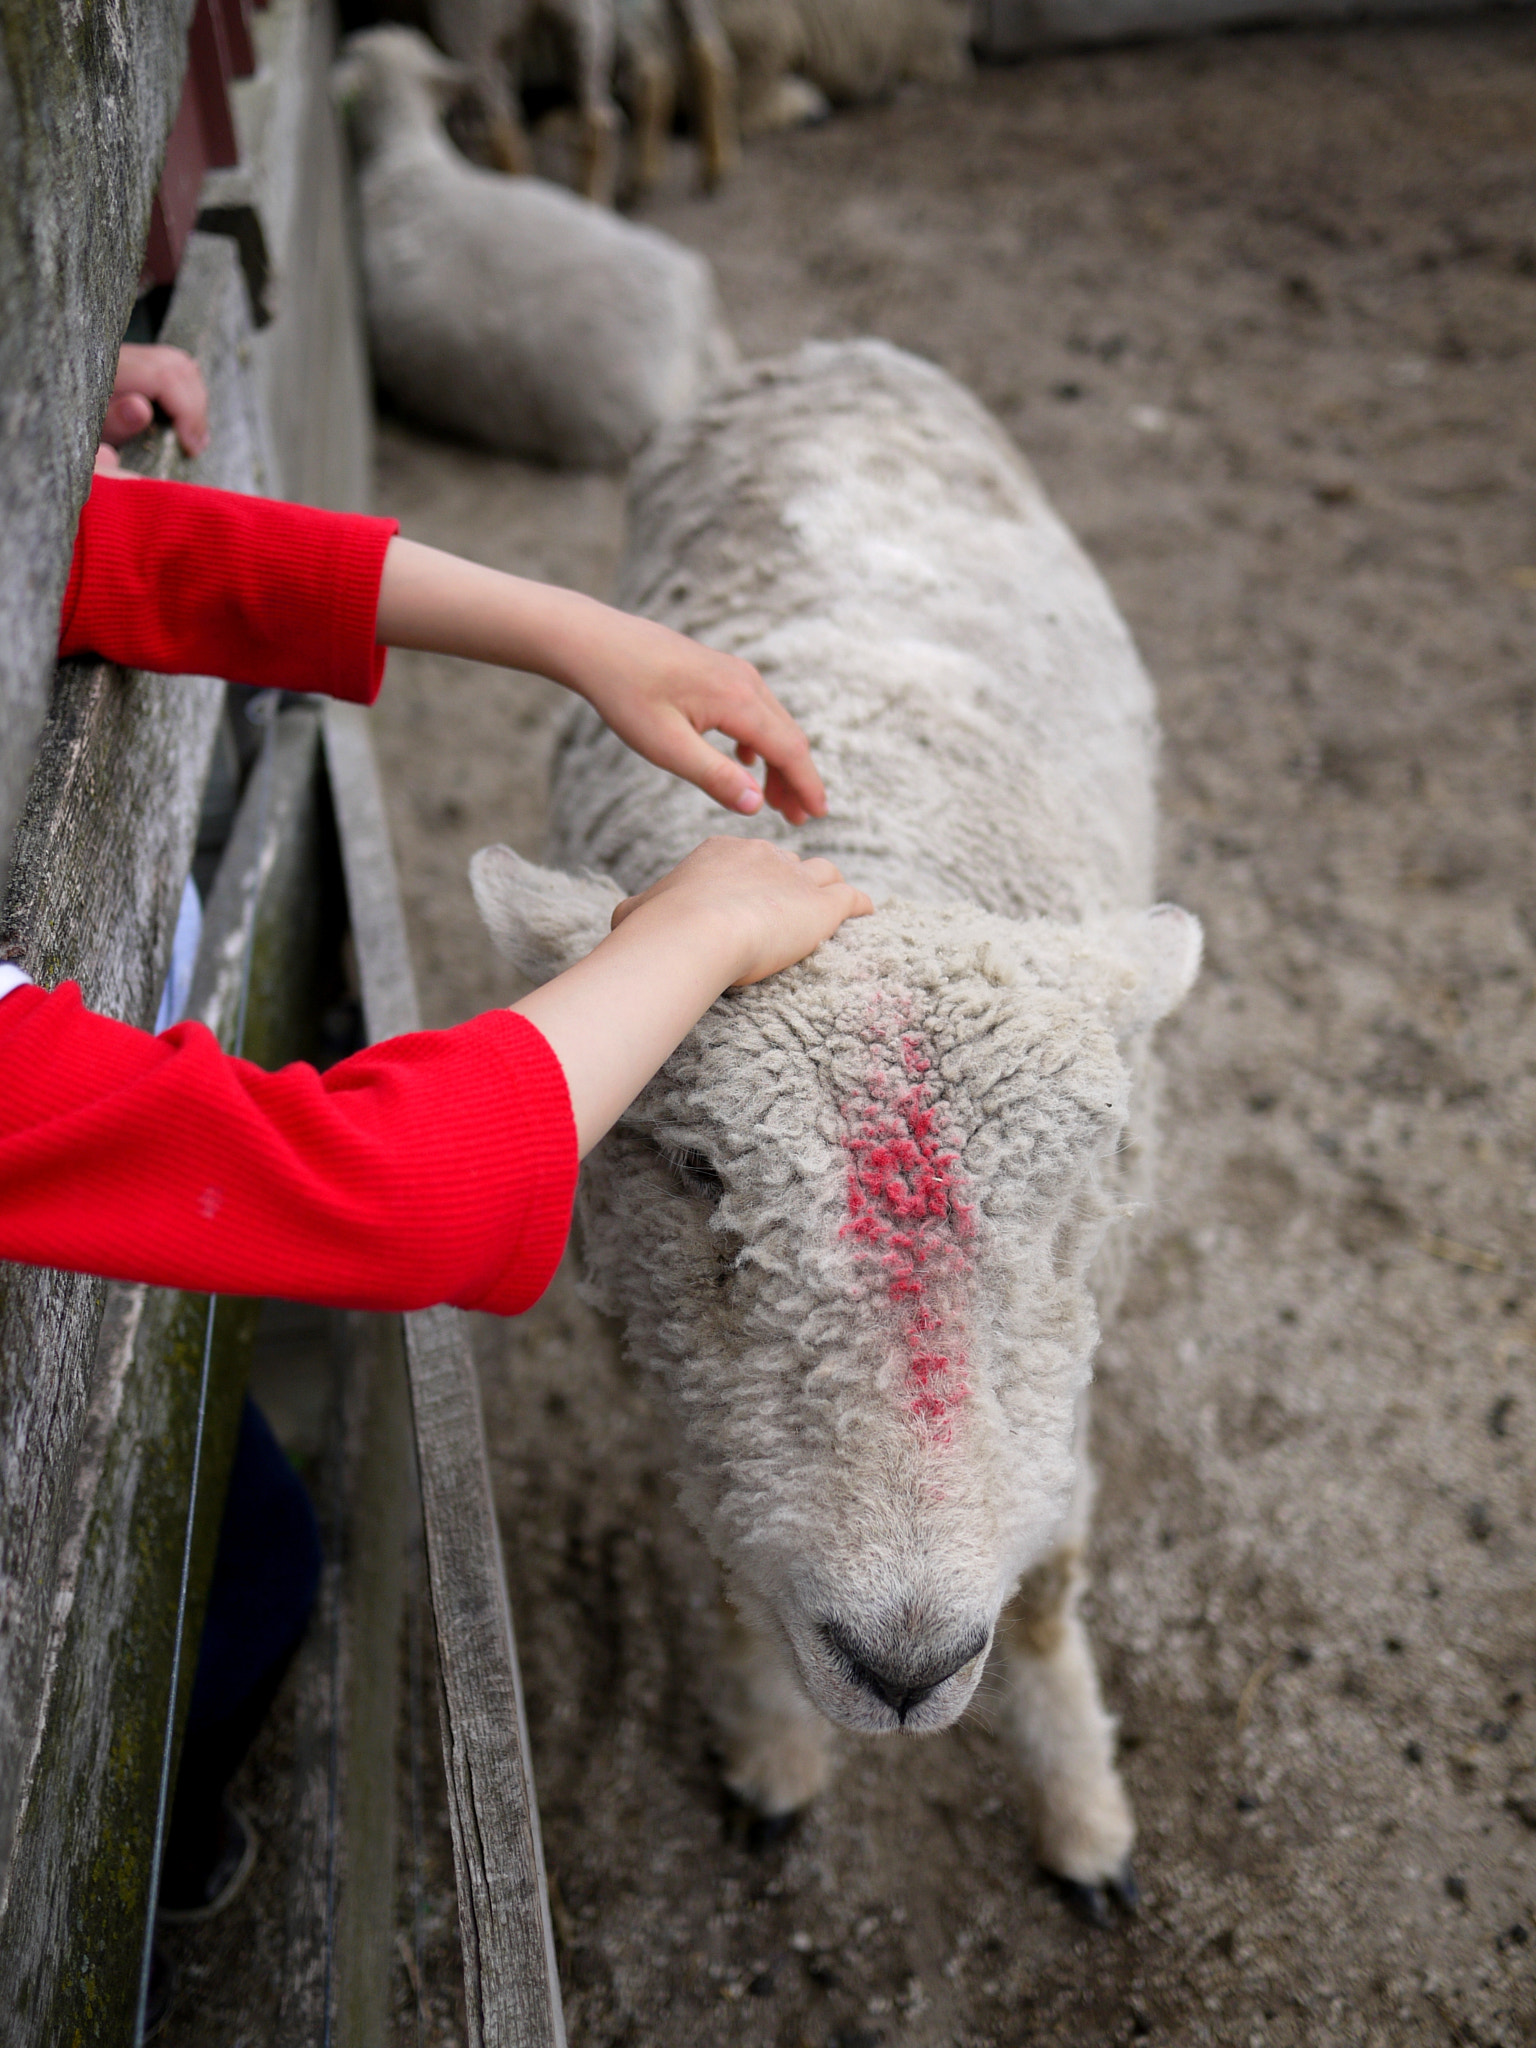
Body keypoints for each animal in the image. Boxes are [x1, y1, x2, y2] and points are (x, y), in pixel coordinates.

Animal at [473, 339, 1204, 1916]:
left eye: (1070, 1201)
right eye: (698, 1174)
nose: (907, 1660)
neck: (870, 841)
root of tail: (827, 352)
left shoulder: (1067, 1374)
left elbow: (1046, 1598)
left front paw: (1085, 1812)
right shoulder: (678, 1385)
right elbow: (730, 1559)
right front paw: (773, 1756)